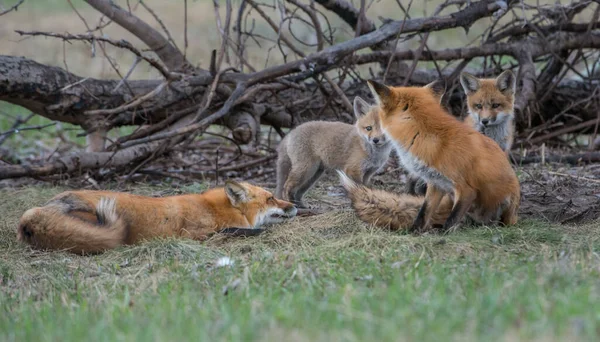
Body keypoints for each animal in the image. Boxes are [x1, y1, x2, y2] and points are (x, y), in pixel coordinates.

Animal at [17, 182, 298, 254]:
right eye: (271, 198)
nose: (295, 206)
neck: (212, 208)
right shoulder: (194, 234)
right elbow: (233, 231)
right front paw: (257, 231)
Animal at [352, 80, 520, 232]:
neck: (428, 138)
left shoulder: (466, 190)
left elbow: (451, 220)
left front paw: (443, 235)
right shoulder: (436, 183)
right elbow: (423, 213)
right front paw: (414, 232)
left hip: (506, 203)